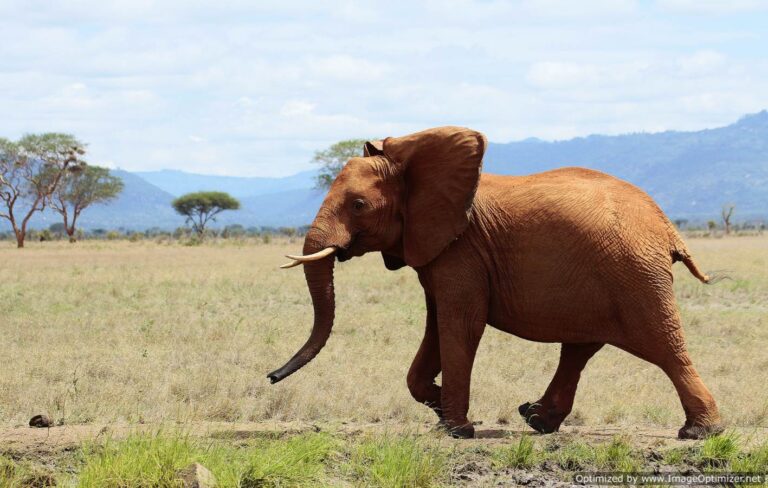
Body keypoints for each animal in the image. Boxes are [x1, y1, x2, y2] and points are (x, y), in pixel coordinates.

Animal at [268, 126, 722, 440]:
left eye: (359, 205)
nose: (270, 377)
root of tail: (666, 226)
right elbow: (437, 325)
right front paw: (439, 406)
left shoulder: (462, 251)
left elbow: (460, 324)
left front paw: (455, 429)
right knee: (581, 347)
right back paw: (537, 419)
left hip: (635, 273)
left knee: (663, 344)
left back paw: (700, 433)